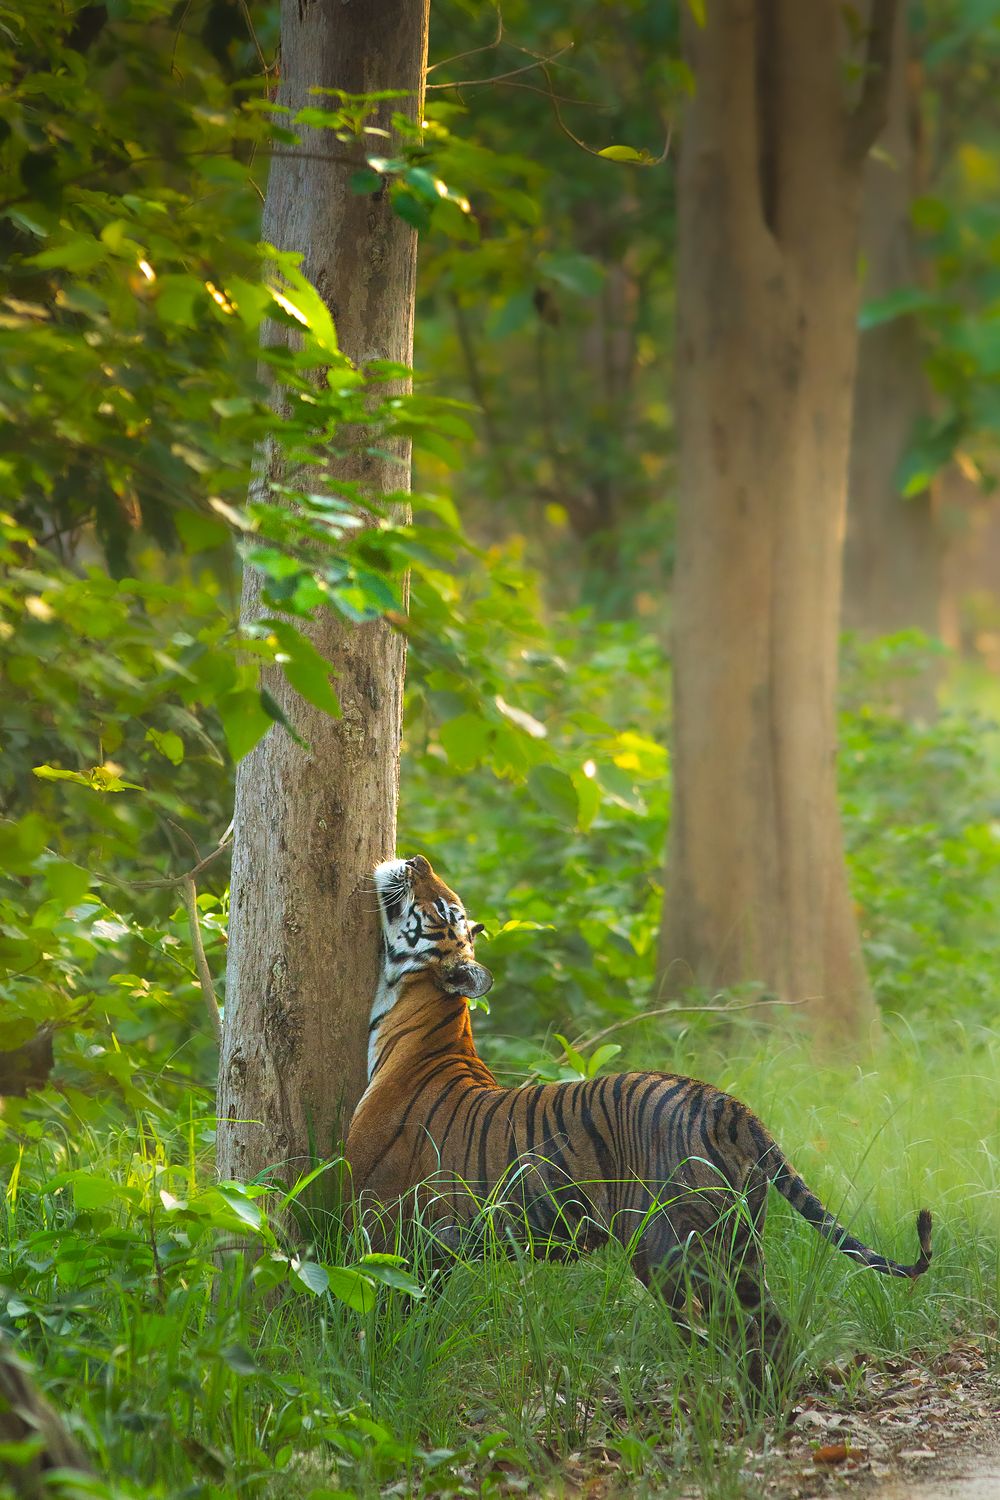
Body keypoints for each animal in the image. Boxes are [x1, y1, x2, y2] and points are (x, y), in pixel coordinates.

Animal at [344, 854, 932, 1389]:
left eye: (445, 906)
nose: (418, 858)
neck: (425, 1018)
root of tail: (723, 1102)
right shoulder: (434, 1250)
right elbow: (416, 1311)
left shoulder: (379, 1216)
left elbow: (376, 1304)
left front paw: (375, 1371)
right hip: (741, 1242)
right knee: (769, 1329)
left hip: (672, 1248)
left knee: (730, 1331)